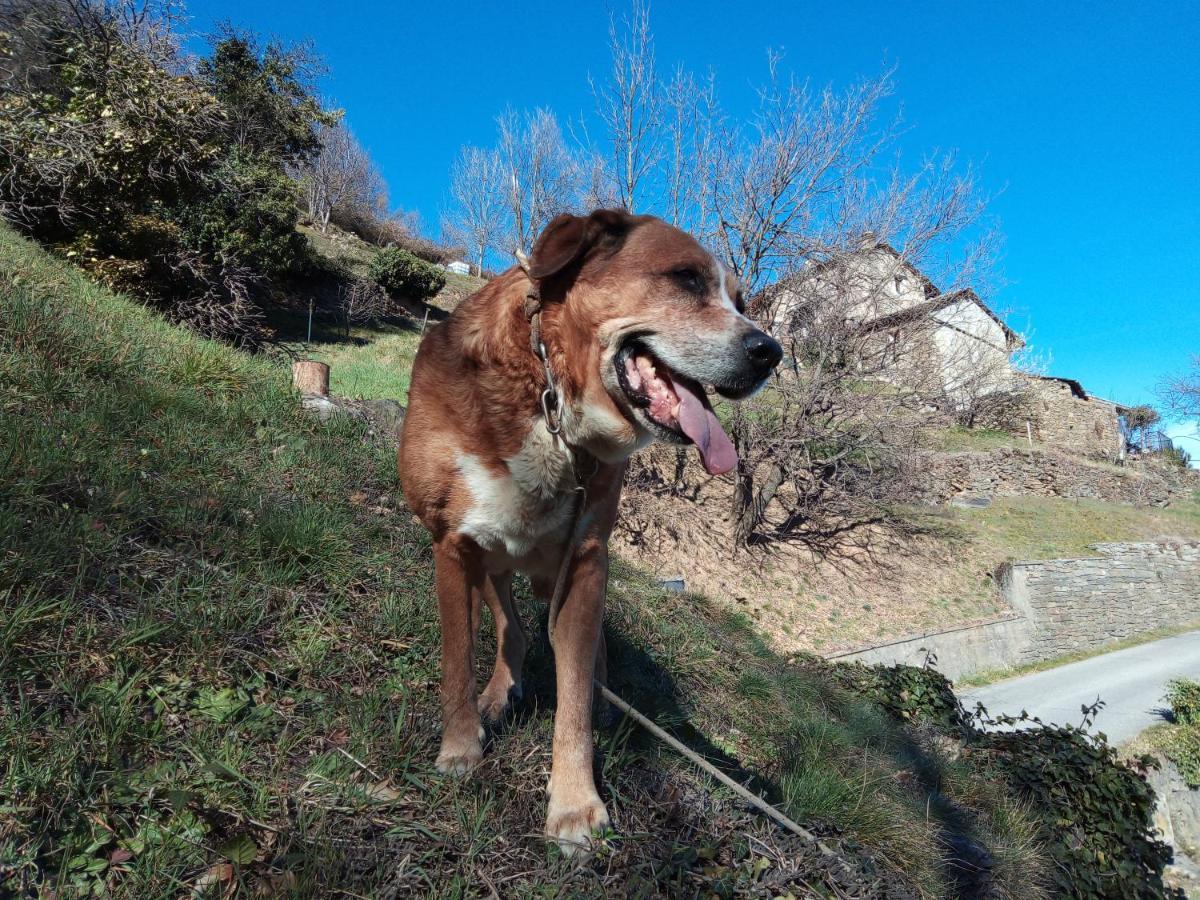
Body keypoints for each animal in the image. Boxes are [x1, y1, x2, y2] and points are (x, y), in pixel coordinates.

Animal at [398, 207, 782, 854]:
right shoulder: (451, 544)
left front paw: (574, 803)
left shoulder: (586, 560)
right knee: (511, 626)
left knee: (584, 648)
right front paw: (461, 746)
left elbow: (573, 693)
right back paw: (499, 691)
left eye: (740, 301)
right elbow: (457, 660)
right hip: (494, 562)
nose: (771, 352)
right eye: (685, 278)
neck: (547, 391)